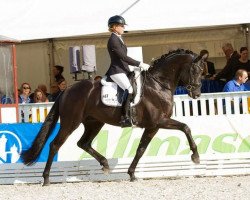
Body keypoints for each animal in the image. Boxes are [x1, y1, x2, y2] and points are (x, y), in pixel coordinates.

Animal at [21, 48, 205, 186]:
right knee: (54, 145)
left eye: (202, 71)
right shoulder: (158, 122)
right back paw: (46, 179)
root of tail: (67, 89)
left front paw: (132, 174)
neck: (158, 84)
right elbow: (185, 127)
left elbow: (141, 149)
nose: (196, 94)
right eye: (194, 70)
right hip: (70, 123)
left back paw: (105, 164)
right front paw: (195, 156)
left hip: (94, 123)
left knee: (83, 143)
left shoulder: (152, 126)